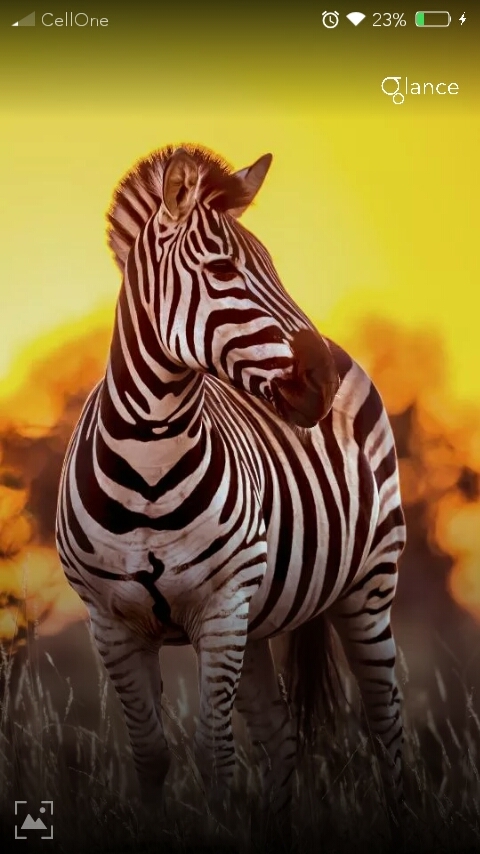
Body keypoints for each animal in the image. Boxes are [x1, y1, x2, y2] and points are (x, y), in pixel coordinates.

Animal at [55, 143, 406, 834]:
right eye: (222, 270)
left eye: (273, 264)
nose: (322, 382)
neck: (149, 468)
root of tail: (346, 350)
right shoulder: (110, 623)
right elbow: (152, 756)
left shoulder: (221, 609)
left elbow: (215, 755)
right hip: (262, 618)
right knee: (282, 736)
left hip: (367, 588)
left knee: (387, 729)